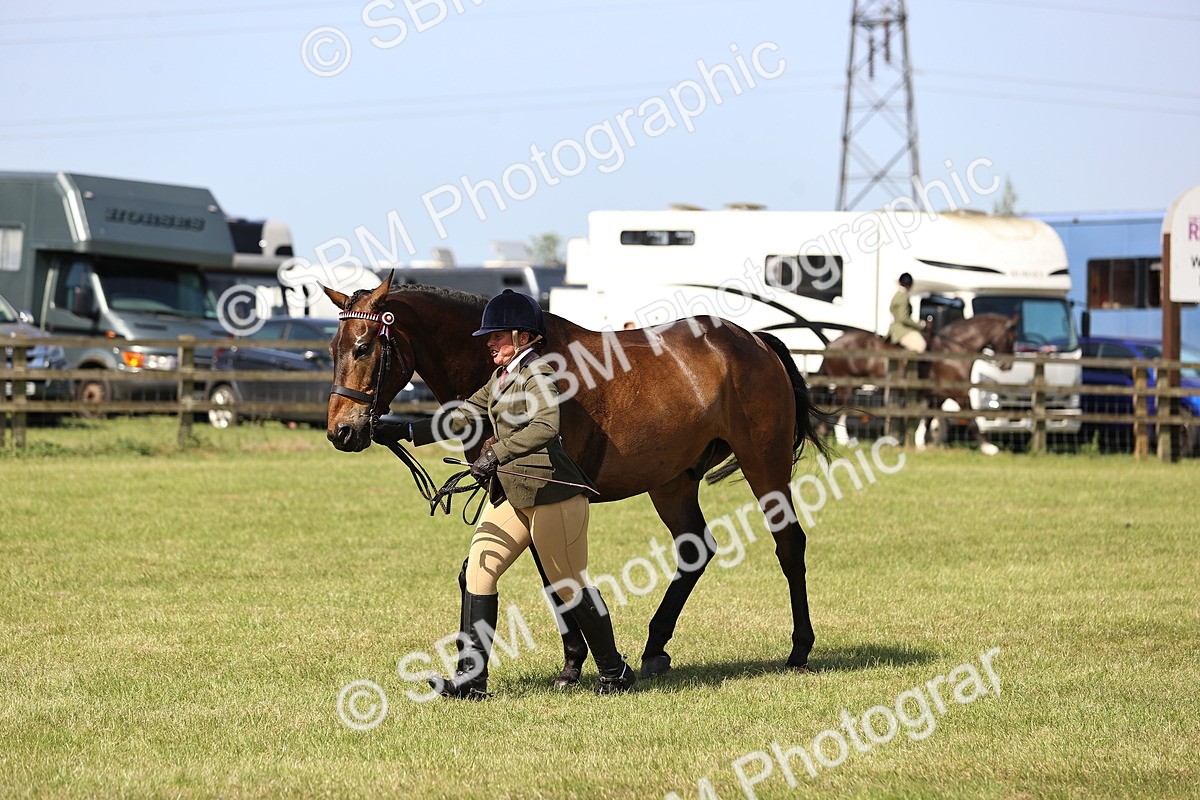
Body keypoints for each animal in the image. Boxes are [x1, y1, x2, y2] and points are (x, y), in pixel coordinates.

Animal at [321, 272, 835, 680]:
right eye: (332, 348)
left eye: (364, 347)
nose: (342, 432)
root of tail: (757, 341)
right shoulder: (511, 494)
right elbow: (527, 576)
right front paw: (570, 662)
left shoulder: (540, 495)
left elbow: (555, 577)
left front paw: (577, 663)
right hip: (672, 481)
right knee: (695, 550)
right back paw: (654, 648)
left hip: (763, 464)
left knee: (789, 544)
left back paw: (799, 649)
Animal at [820, 314, 1019, 455]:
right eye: (1011, 338)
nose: (1007, 366)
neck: (952, 351)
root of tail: (833, 343)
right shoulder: (959, 392)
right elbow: (971, 418)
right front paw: (989, 448)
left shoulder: (937, 395)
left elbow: (929, 419)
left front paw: (922, 443)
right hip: (846, 386)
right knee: (840, 410)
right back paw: (843, 441)